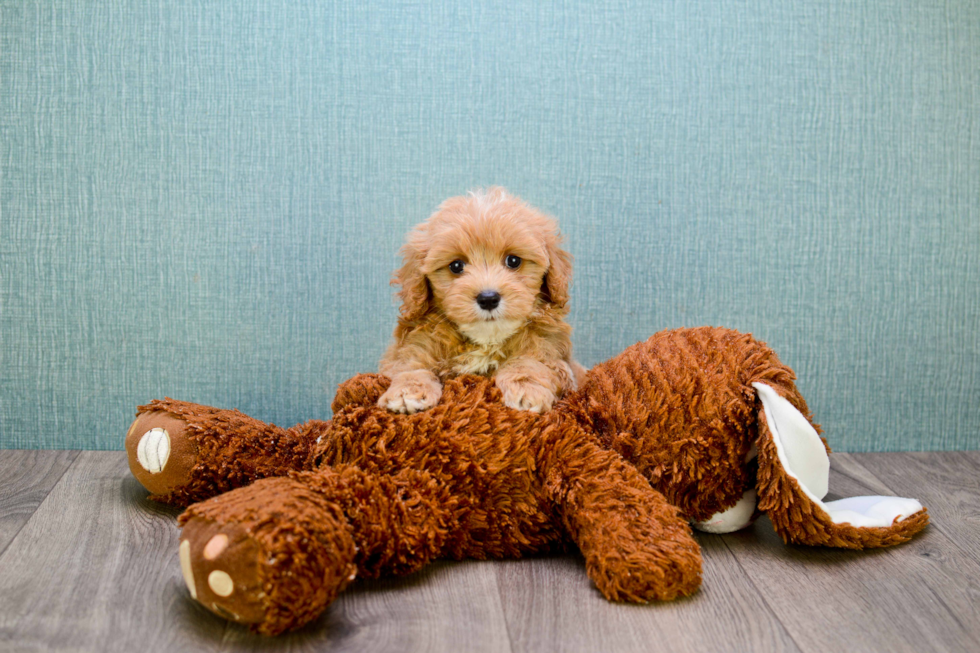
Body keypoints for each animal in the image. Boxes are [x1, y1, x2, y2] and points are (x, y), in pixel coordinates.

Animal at [378, 186, 584, 416]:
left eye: (513, 261)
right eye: (456, 266)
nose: (488, 299)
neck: (485, 341)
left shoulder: (552, 353)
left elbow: (531, 362)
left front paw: (526, 387)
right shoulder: (411, 347)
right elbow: (411, 365)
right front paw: (407, 391)